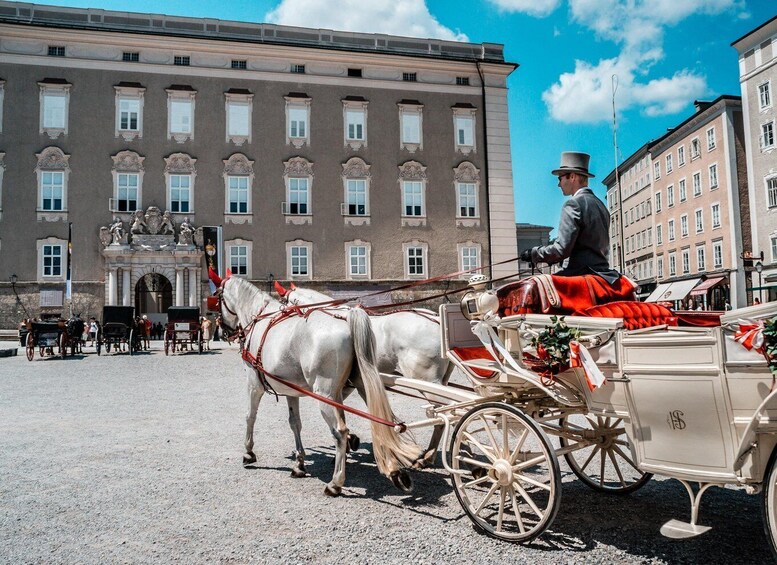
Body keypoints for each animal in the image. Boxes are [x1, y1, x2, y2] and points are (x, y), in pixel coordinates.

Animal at [215, 276, 422, 496]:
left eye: (217, 298)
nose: (222, 332)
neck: (260, 318)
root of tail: (346, 319)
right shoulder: (292, 391)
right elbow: (294, 423)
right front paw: (299, 463)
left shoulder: (254, 385)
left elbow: (250, 417)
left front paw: (248, 453)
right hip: (362, 385)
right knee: (382, 420)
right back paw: (396, 470)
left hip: (325, 394)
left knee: (340, 432)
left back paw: (336, 482)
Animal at [278, 284, 452, 464]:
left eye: (282, 304)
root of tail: (437, 320)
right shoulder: (348, 384)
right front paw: (349, 441)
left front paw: (347, 443)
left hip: (428, 381)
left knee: (445, 415)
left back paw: (429, 455)